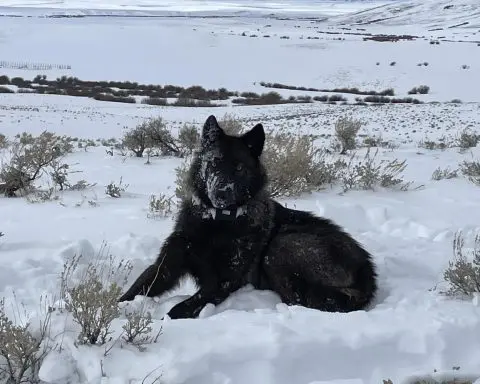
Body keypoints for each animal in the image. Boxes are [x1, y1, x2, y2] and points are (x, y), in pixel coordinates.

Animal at [118, 114, 376, 318]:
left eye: (239, 167)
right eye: (214, 163)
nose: (221, 192)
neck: (218, 222)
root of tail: (367, 271)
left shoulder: (223, 282)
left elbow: (181, 308)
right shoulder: (167, 264)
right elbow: (136, 288)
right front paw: (116, 312)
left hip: (282, 246)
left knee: (300, 299)